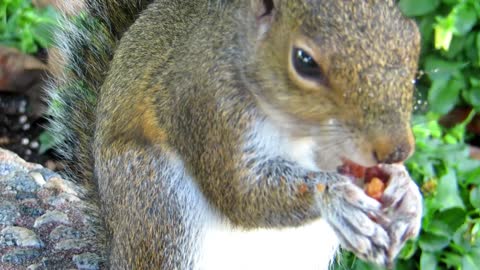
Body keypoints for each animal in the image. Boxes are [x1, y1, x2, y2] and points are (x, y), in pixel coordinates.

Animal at [47, 0, 424, 268]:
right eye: (304, 61)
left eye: (412, 36)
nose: (397, 150)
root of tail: (115, 248)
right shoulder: (206, 106)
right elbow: (240, 193)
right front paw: (335, 196)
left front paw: (406, 189)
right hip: (156, 201)